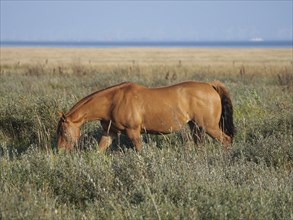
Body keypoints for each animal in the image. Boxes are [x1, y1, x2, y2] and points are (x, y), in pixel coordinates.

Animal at [57, 81, 235, 151]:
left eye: (63, 131)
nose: (60, 151)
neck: (114, 101)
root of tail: (211, 86)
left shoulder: (133, 132)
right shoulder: (110, 132)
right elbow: (99, 151)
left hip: (210, 127)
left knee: (226, 140)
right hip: (196, 127)